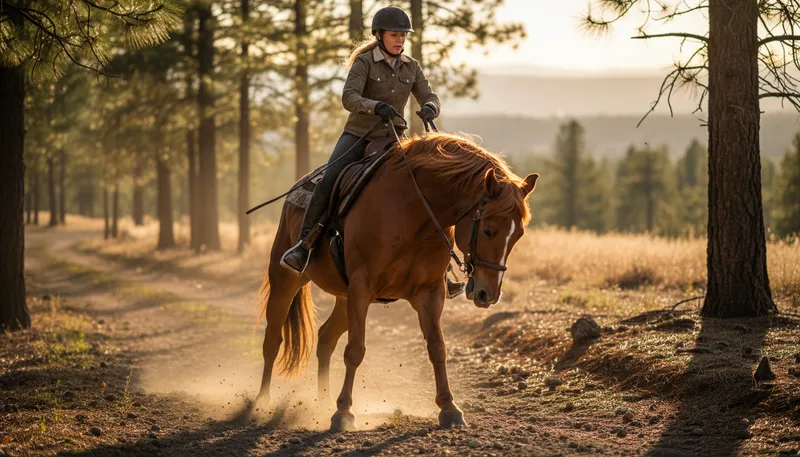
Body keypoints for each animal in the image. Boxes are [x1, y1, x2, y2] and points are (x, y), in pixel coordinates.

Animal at [255, 131, 539, 431]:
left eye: (518, 234)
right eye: (488, 230)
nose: (488, 294)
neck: (413, 213)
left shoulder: (429, 293)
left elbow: (437, 348)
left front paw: (449, 408)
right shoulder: (362, 288)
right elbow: (355, 350)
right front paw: (344, 412)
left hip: (344, 299)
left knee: (325, 339)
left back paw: (322, 402)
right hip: (286, 280)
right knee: (273, 340)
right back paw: (262, 403)